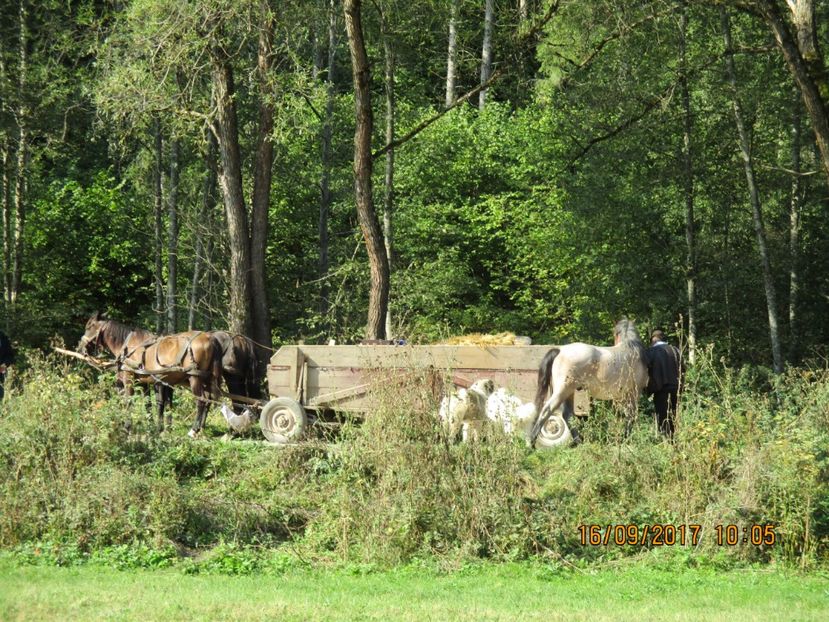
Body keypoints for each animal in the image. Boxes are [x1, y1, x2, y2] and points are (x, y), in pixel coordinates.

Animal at [79, 312, 222, 438]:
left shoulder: (129, 378)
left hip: (195, 377)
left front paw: (127, 428)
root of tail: (210, 338)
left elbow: (129, 402)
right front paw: (151, 426)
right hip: (207, 379)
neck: (128, 347)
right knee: (209, 400)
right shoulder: (144, 382)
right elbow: (148, 404)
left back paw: (193, 430)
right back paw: (201, 428)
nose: (79, 348)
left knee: (201, 400)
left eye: (89, 326)